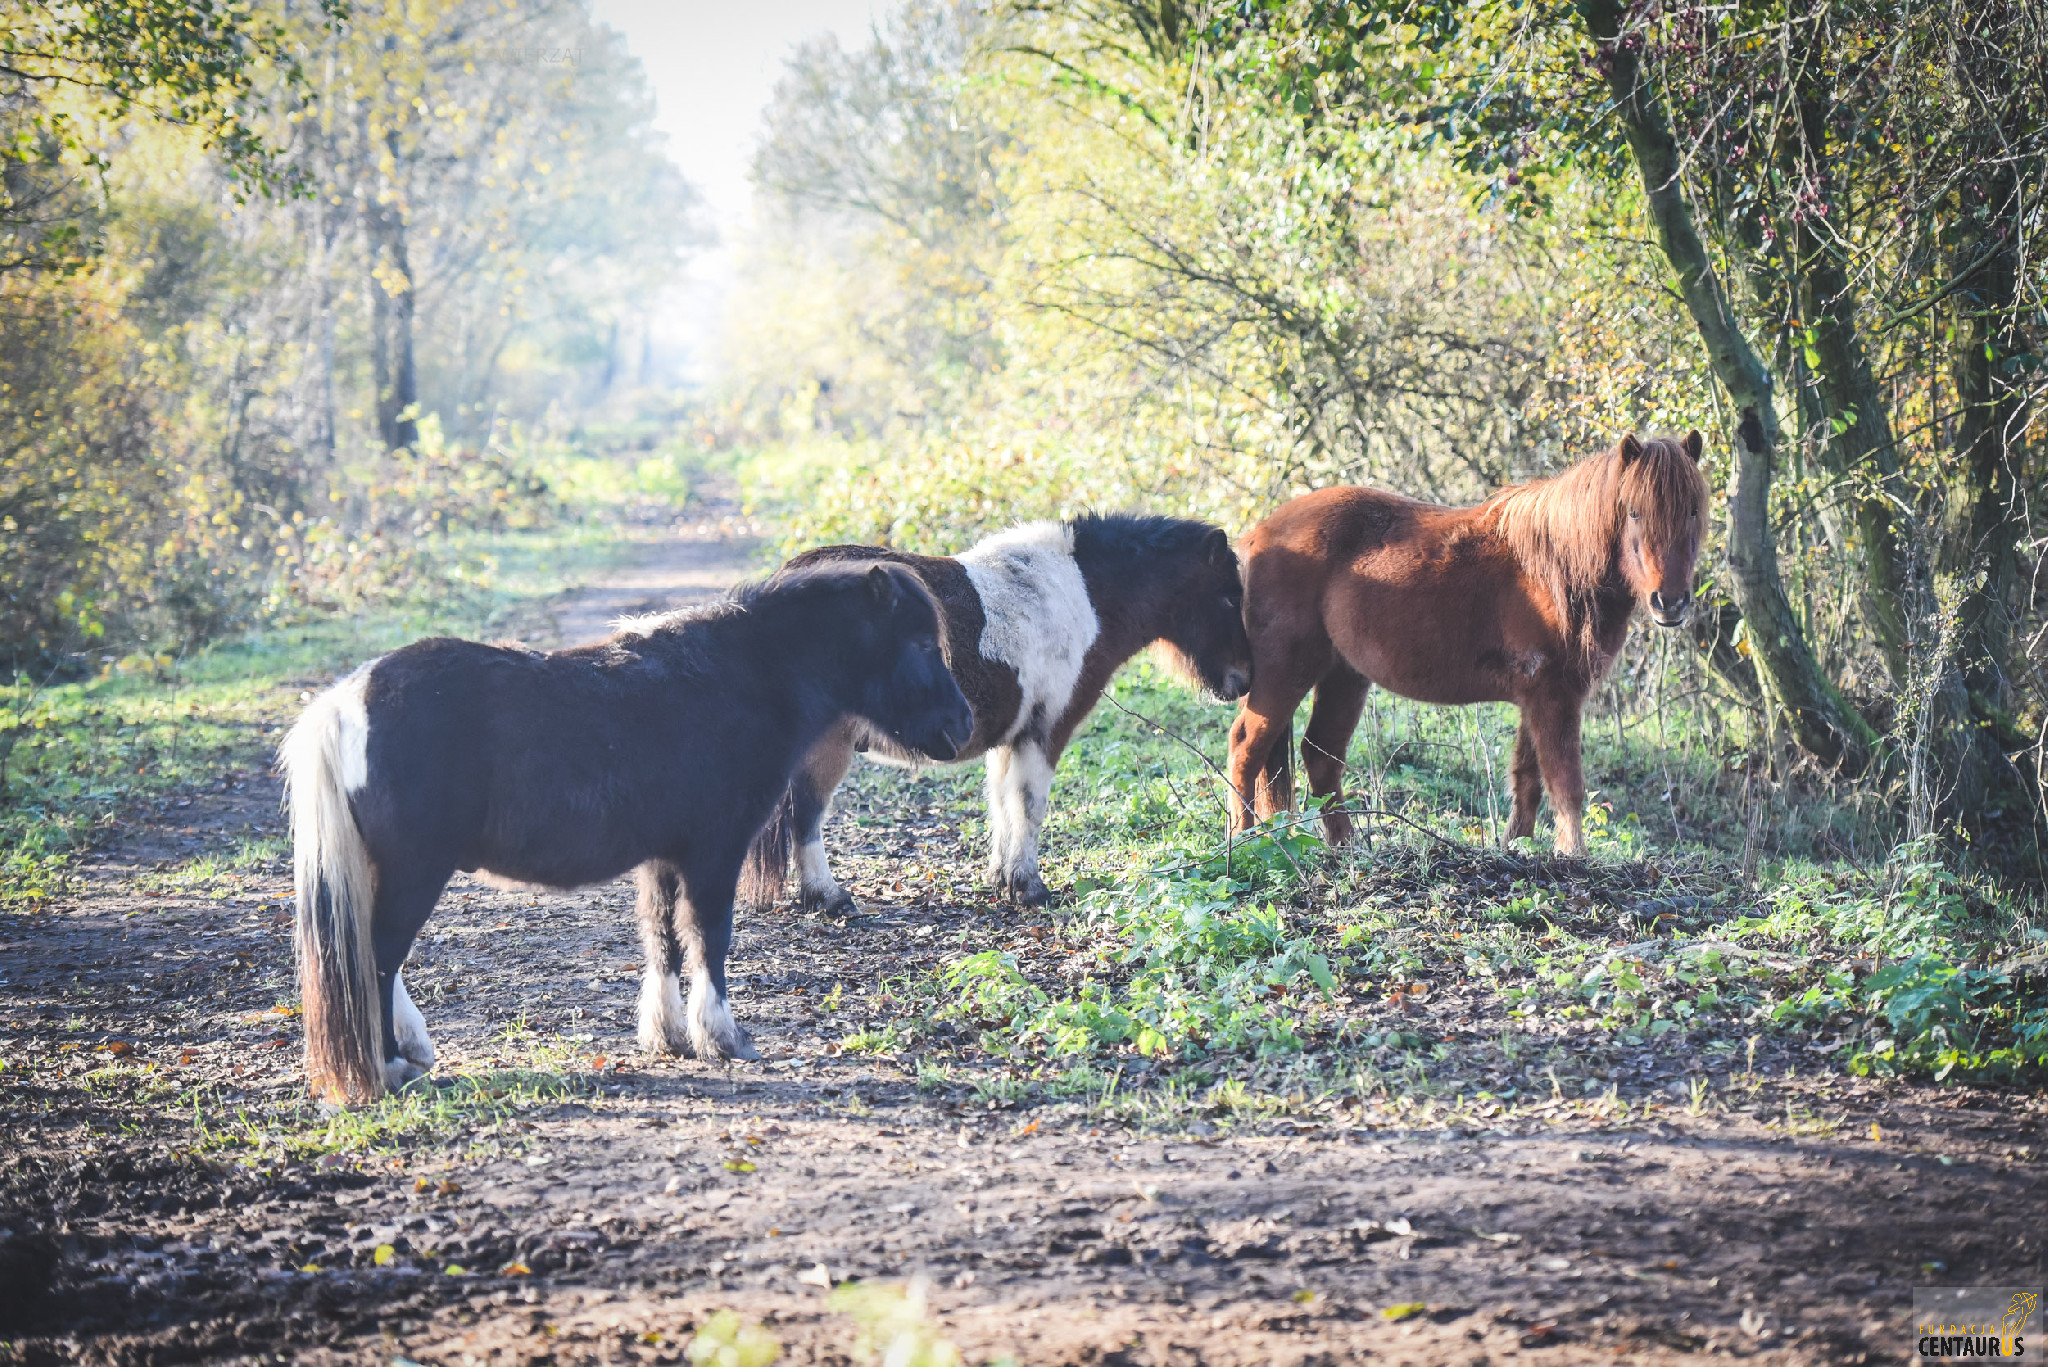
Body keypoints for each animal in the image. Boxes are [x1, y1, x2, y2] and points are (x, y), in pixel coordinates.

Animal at [280, 561, 974, 1106]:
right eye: (919, 644)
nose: (962, 724)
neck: (741, 676)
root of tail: (347, 701)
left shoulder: (663, 859)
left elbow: (663, 939)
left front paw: (670, 1036)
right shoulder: (713, 853)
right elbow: (709, 939)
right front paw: (725, 1037)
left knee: (383, 960)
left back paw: (412, 1053)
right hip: (414, 870)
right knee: (378, 958)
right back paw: (392, 1066)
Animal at [749, 518, 1245, 914]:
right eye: (1228, 597)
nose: (1243, 680)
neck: (1082, 595)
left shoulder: (1012, 736)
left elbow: (1003, 801)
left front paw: (1002, 877)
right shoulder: (1046, 730)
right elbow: (1029, 804)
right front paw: (1030, 887)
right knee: (806, 815)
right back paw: (829, 897)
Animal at [1228, 432, 1712, 856]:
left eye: (1692, 511)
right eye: (1634, 512)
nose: (1670, 602)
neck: (1559, 567)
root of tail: (1257, 535)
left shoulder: (1540, 696)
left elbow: (1529, 778)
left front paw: (1517, 846)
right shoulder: (1555, 694)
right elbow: (1566, 782)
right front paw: (1574, 854)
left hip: (1343, 675)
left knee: (1320, 755)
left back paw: (1346, 848)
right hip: (1285, 673)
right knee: (1245, 748)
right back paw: (1242, 842)